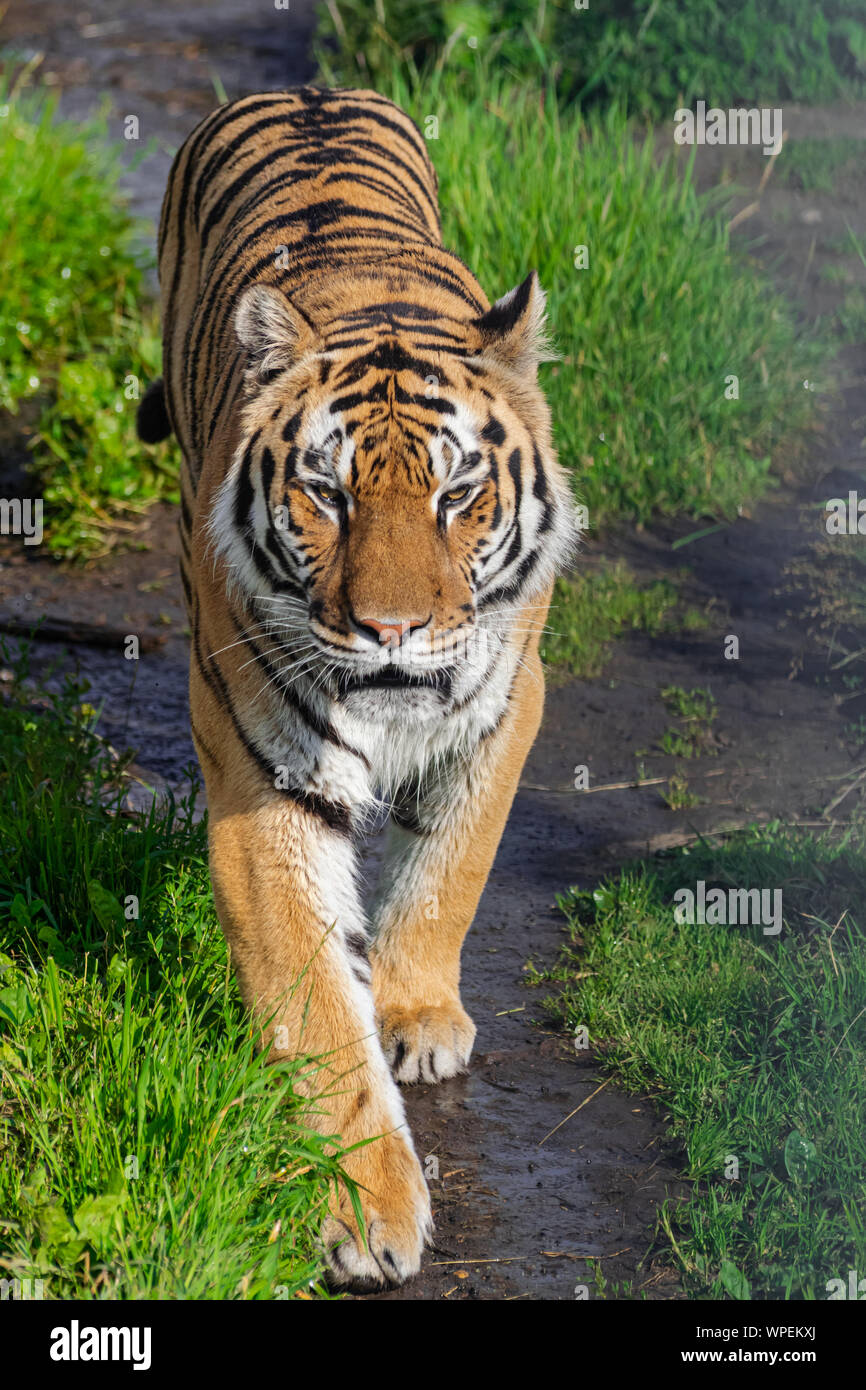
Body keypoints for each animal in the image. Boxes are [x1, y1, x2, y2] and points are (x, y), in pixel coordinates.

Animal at [137, 85, 577, 1290]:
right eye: (326, 494)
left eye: (458, 494)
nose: (390, 629)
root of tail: (308, 91)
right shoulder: (260, 776)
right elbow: (315, 1012)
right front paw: (365, 1212)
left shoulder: (506, 704)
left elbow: (452, 864)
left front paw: (418, 1012)